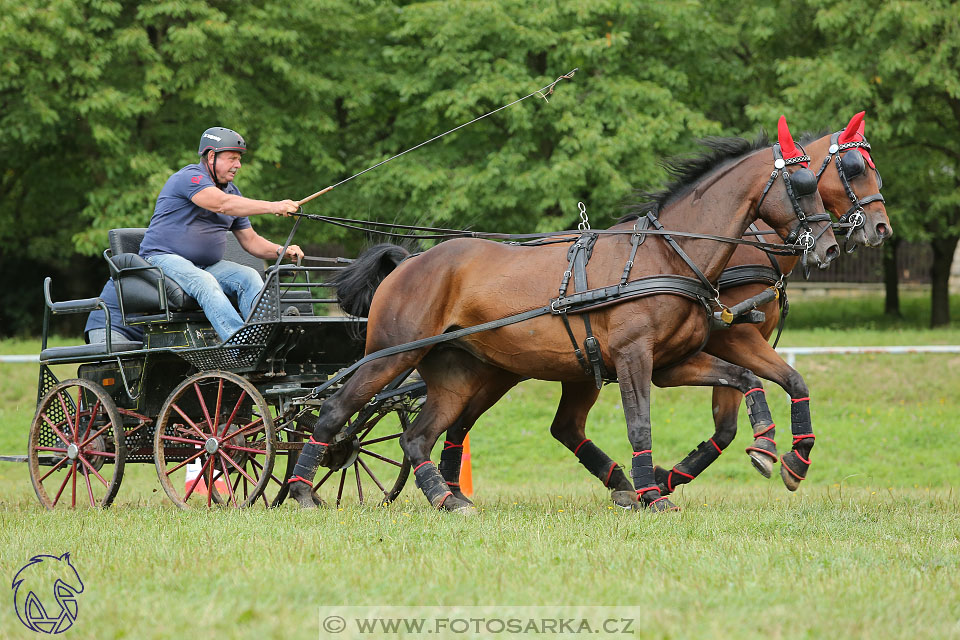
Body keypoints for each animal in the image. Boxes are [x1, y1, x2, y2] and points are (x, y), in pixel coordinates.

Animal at [286, 116, 840, 510]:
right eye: (802, 183)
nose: (830, 247)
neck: (666, 255)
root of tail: (409, 262)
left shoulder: (671, 364)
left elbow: (745, 379)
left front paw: (775, 450)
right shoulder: (635, 358)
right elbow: (641, 424)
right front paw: (653, 494)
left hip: (461, 373)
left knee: (419, 435)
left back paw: (448, 498)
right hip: (391, 356)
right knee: (337, 411)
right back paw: (302, 490)